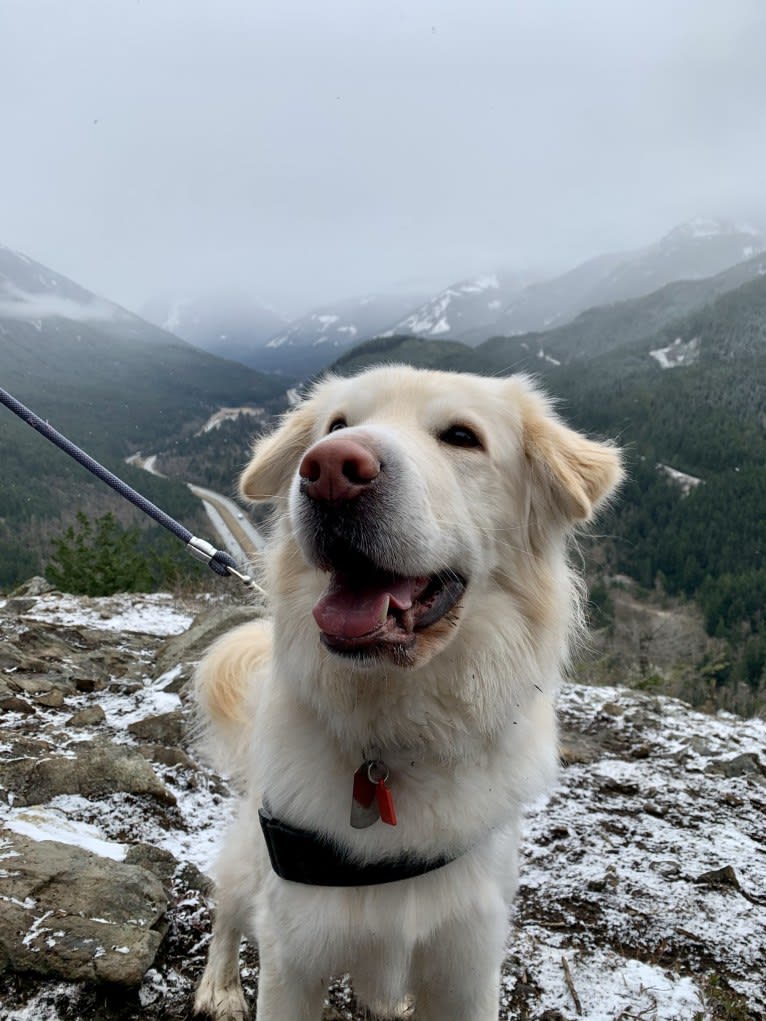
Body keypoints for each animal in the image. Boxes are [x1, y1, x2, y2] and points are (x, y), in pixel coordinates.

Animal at [193, 363, 625, 1016]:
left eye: (462, 437)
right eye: (336, 426)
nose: (329, 470)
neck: (394, 735)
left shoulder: (468, 965)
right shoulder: (293, 957)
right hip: (251, 862)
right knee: (227, 906)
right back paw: (218, 986)